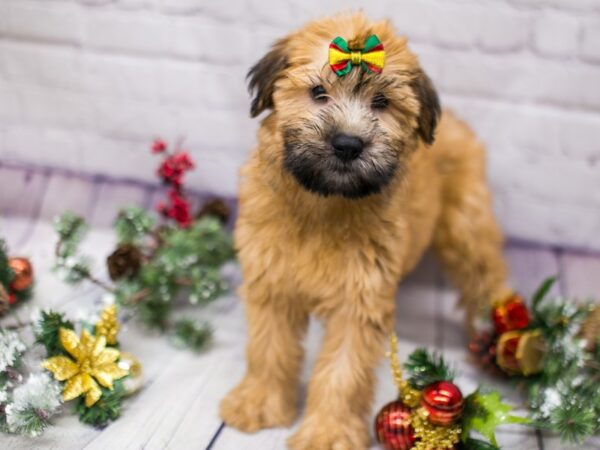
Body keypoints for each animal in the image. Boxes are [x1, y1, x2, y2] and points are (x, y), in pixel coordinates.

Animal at [220, 11, 510, 450]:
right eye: (318, 92)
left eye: (381, 103)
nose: (347, 144)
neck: (323, 205)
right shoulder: (273, 285)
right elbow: (268, 349)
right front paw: (258, 403)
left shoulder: (358, 302)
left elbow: (343, 372)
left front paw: (326, 433)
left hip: (467, 229)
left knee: (485, 276)